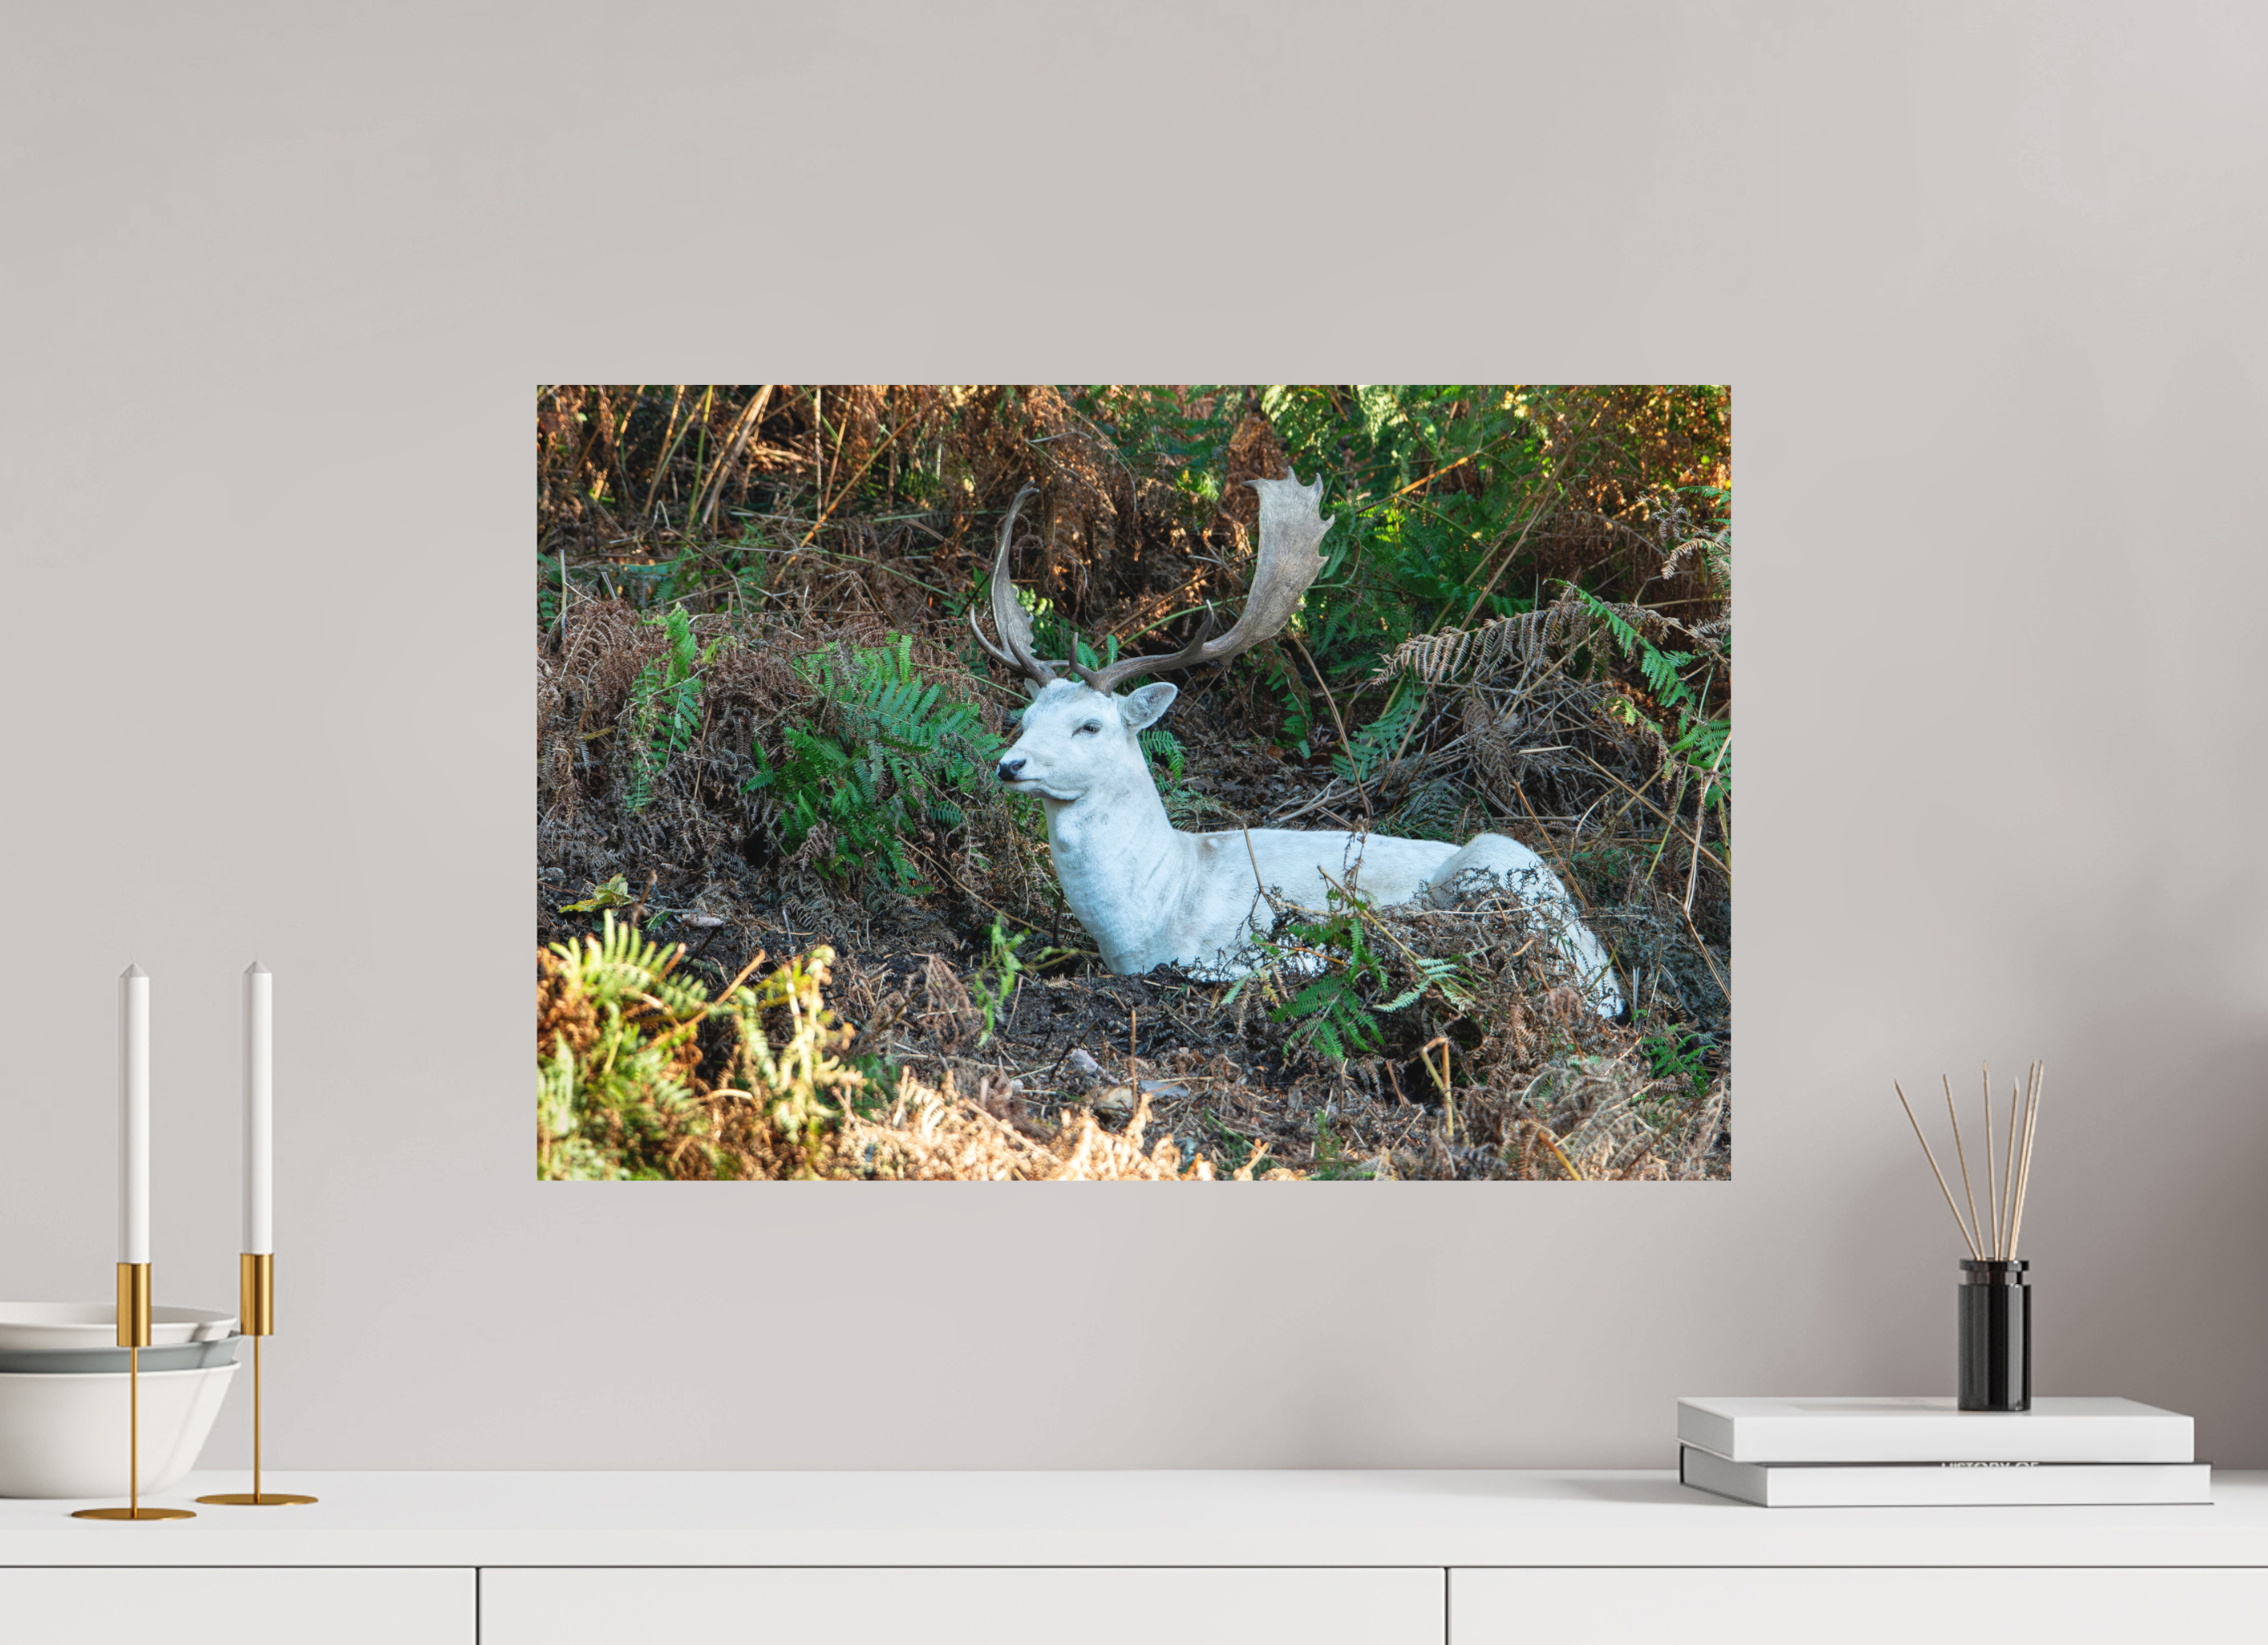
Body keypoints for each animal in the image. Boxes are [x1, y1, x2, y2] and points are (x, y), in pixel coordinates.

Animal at [972, 473, 1625, 1016]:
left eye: (1091, 725)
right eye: (1027, 716)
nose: (1010, 765)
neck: (1153, 913)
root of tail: (1609, 976)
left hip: (1495, 862)